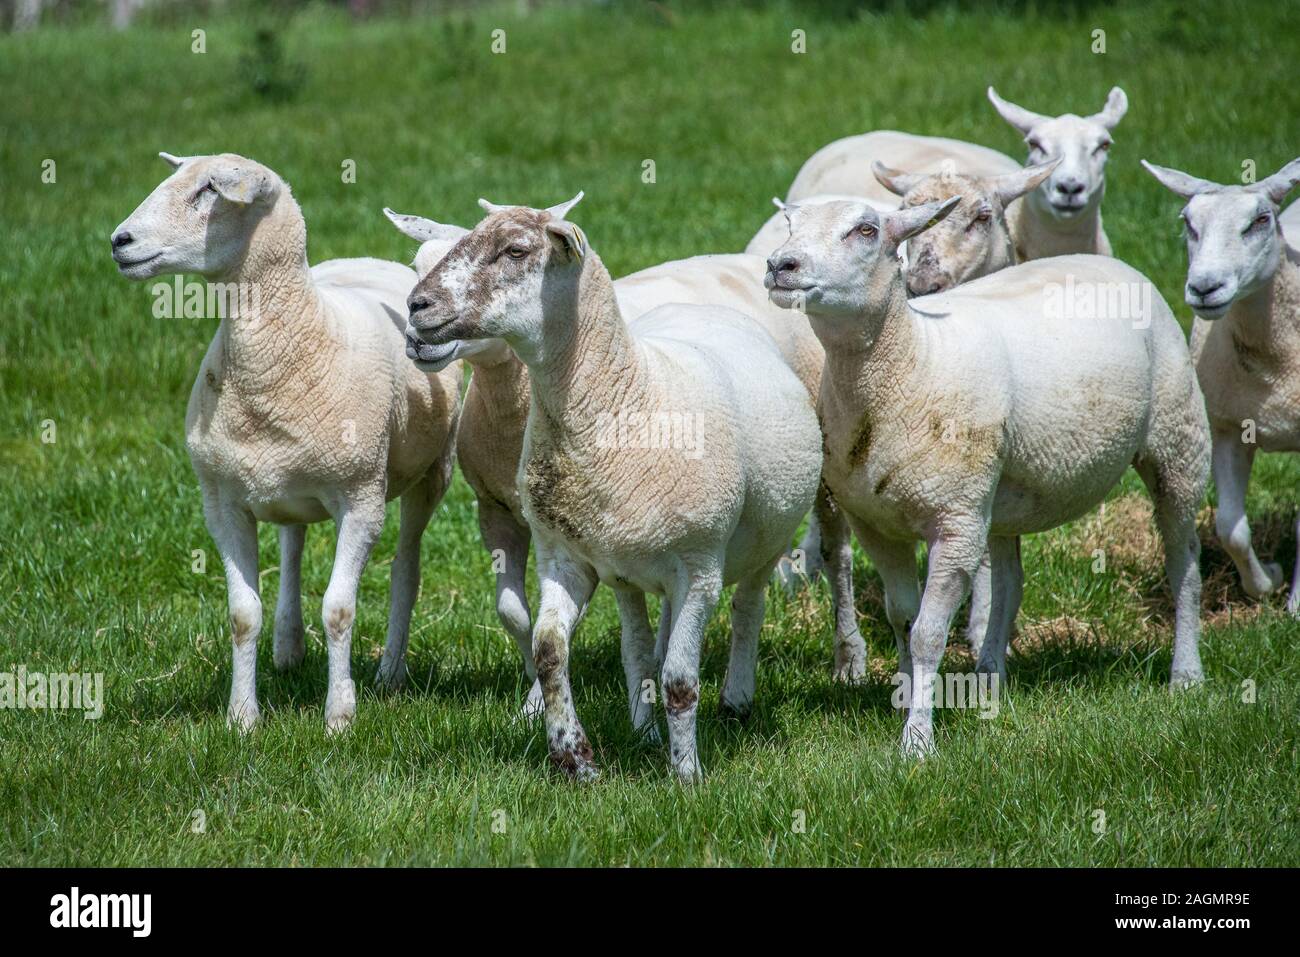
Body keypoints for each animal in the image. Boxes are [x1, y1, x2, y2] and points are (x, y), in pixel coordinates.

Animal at [110, 153, 462, 728]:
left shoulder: (361, 500)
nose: (120, 240)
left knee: (405, 569)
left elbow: (339, 609)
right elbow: (241, 614)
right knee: (292, 546)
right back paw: (288, 647)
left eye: (210, 190)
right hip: (281, 479)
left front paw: (339, 716)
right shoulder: (222, 504)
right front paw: (242, 717)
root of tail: (368, 258)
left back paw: (390, 672)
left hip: (432, 473)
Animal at [403, 192, 821, 780]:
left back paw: (736, 700)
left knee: (747, 609)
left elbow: (681, 680)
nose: (416, 307)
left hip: (764, 540)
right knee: (639, 645)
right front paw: (573, 756)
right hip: (627, 564)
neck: (627, 393)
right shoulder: (565, 557)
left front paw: (687, 776)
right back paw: (644, 731)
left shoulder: (699, 569)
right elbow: (549, 648)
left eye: (516, 250)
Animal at [764, 200, 1211, 754]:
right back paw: (988, 676)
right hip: (998, 492)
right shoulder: (877, 525)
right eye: (791, 224)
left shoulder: (956, 523)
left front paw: (917, 741)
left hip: (1177, 437)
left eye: (866, 230)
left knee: (1183, 561)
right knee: (1011, 582)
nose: (780, 265)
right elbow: (902, 619)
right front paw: (907, 702)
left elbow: (928, 633)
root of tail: (1111, 263)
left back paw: (1186, 674)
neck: (912, 360)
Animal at [1149, 153, 1300, 608]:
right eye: (1188, 223)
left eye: (1261, 220)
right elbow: (1231, 527)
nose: (1204, 287)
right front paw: (1266, 582)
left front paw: (1296, 606)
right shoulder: (1228, 427)